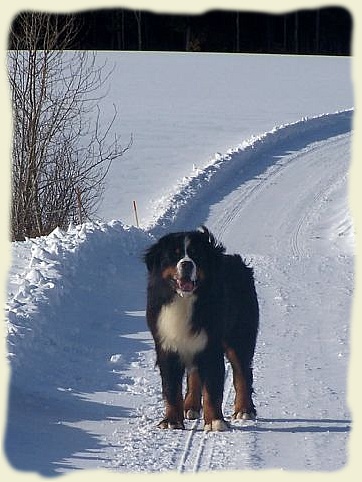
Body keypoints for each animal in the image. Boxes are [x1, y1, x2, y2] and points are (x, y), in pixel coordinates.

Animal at [143, 226, 258, 434]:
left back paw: (244, 410)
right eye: (174, 255)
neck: (184, 300)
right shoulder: (167, 347)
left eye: (196, 255)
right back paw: (190, 406)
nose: (187, 264)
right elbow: (171, 389)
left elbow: (212, 389)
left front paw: (215, 422)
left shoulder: (210, 347)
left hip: (239, 337)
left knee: (242, 374)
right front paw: (172, 421)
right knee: (195, 374)